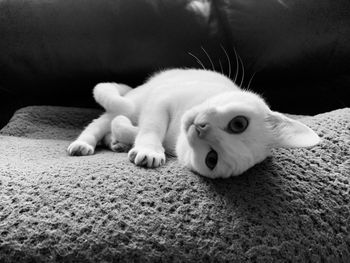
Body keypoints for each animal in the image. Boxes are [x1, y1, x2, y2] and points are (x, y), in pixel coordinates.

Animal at [66, 69, 320, 179]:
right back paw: (83, 145)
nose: (200, 128)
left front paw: (129, 142)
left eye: (211, 159)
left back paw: (115, 143)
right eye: (239, 123)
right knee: (99, 123)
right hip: (132, 101)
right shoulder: (160, 101)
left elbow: (132, 128)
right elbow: (150, 128)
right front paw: (149, 150)